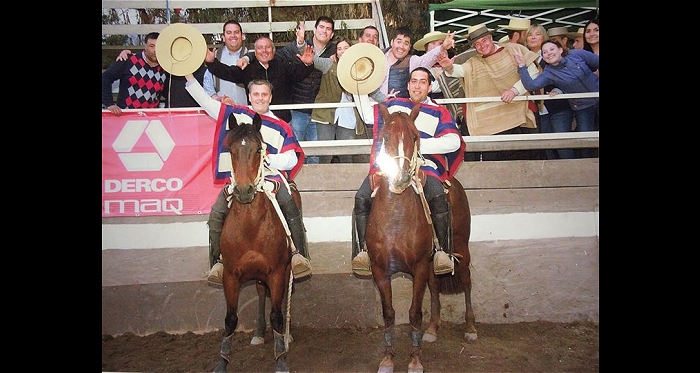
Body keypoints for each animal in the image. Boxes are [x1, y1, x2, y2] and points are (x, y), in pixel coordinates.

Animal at [213, 112, 300, 372]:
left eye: (258, 149)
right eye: (230, 149)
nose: (243, 191)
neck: (250, 227)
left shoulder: (277, 272)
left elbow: (277, 315)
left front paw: (281, 358)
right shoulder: (231, 275)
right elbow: (230, 319)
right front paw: (222, 361)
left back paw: (286, 335)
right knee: (262, 294)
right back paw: (260, 333)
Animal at [366, 102, 476, 372]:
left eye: (415, 137)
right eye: (385, 137)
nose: (401, 178)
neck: (396, 218)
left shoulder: (418, 268)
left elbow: (414, 312)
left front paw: (415, 360)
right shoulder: (380, 270)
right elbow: (388, 313)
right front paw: (387, 358)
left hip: (461, 248)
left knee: (466, 281)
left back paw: (470, 327)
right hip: (433, 263)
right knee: (435, 286)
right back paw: (433, 328)